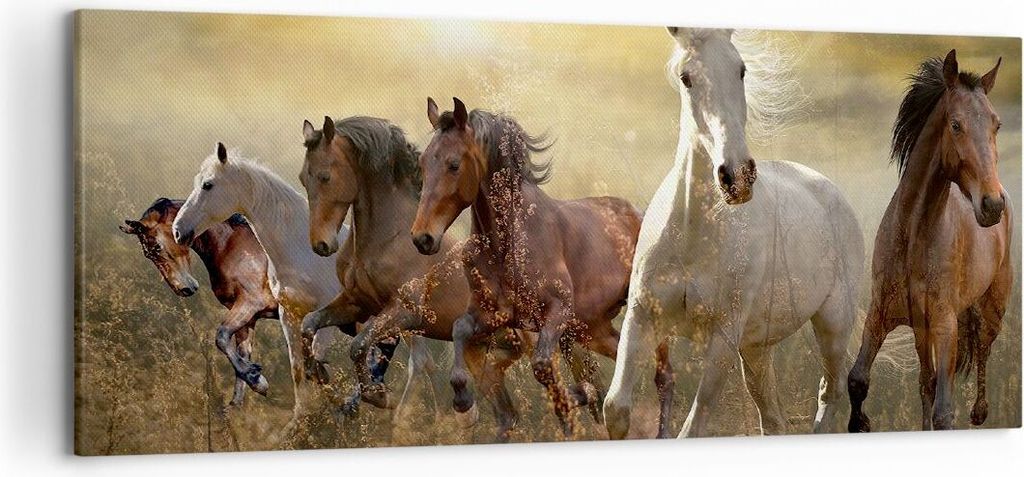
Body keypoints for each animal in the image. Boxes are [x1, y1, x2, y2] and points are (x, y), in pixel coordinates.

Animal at [171, 143, 399, 428]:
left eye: (208, 185)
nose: (178, 230)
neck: (299, 248)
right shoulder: (287, 314)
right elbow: (299, 370)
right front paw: (296, 421)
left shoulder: (322, 318)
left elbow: (315, 361)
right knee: (375, 356)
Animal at [410, 97, 643, 438]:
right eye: (424, 163)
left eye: (454, 164)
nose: (423, 238)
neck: (507, 243)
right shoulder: (493, 315)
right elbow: (460, 329)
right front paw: (463, 403)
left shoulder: (557, 310)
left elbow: (544, 369)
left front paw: (573, 400)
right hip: (593, 329)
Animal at [603, 28, 864, 439]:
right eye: (686, 77)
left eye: (740, 70)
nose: (736, 176)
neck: (693, 236)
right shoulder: (642, 317)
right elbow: (615, 408)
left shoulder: (724, 336)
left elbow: (694, 426)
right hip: (757, 348)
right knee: (773, 419)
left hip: (833, 324)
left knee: (831, 391)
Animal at [848, 50, 1011, 432]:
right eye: (955, 125)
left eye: (996, 125)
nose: (992, 205)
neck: (913, 236)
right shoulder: (881, 315)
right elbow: (858, 380)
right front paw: (860, 423)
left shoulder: (945, 325)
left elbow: (944, 411)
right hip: (922, 333)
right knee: (926, 380)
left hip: (993, 306)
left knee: (984, 348)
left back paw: (980, 412)